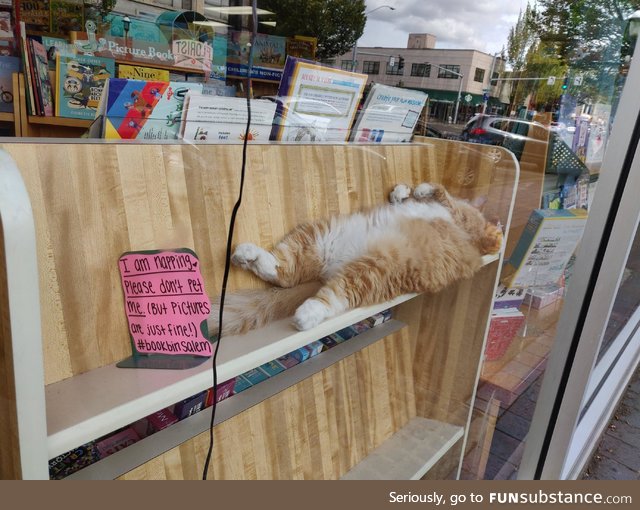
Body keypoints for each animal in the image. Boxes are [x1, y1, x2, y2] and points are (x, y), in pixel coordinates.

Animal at [208, 182, 502, 334]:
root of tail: (334, 267)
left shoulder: (470, 224)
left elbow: (440, 191)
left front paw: (420, 190)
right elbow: (424, 194)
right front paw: (404, 191)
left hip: (370, 270)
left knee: (329, 295)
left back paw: (306, 315)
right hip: (321, 238)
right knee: (282, 272)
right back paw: (249, 255)